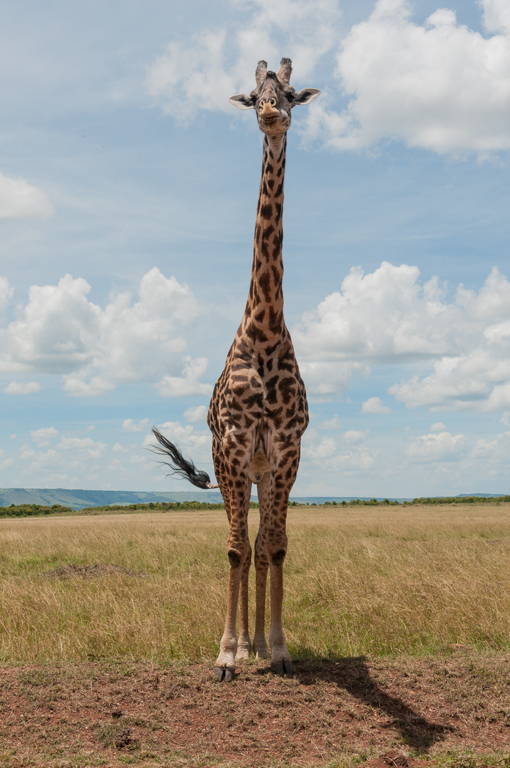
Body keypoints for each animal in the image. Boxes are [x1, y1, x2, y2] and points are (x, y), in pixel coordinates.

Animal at [152, 60, 318, 684]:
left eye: (290, 92)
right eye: (253, 96)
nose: (272, 115)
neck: (266, 331)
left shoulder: (286, 449)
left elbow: (275, 546)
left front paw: (279, 649)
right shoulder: (232, 446)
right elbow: (234, 550)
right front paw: (227, 653)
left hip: (260, 472)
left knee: (260, 544)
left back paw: (259, 646)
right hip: (235, 471)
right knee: (240, 546)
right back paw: (242, 648)